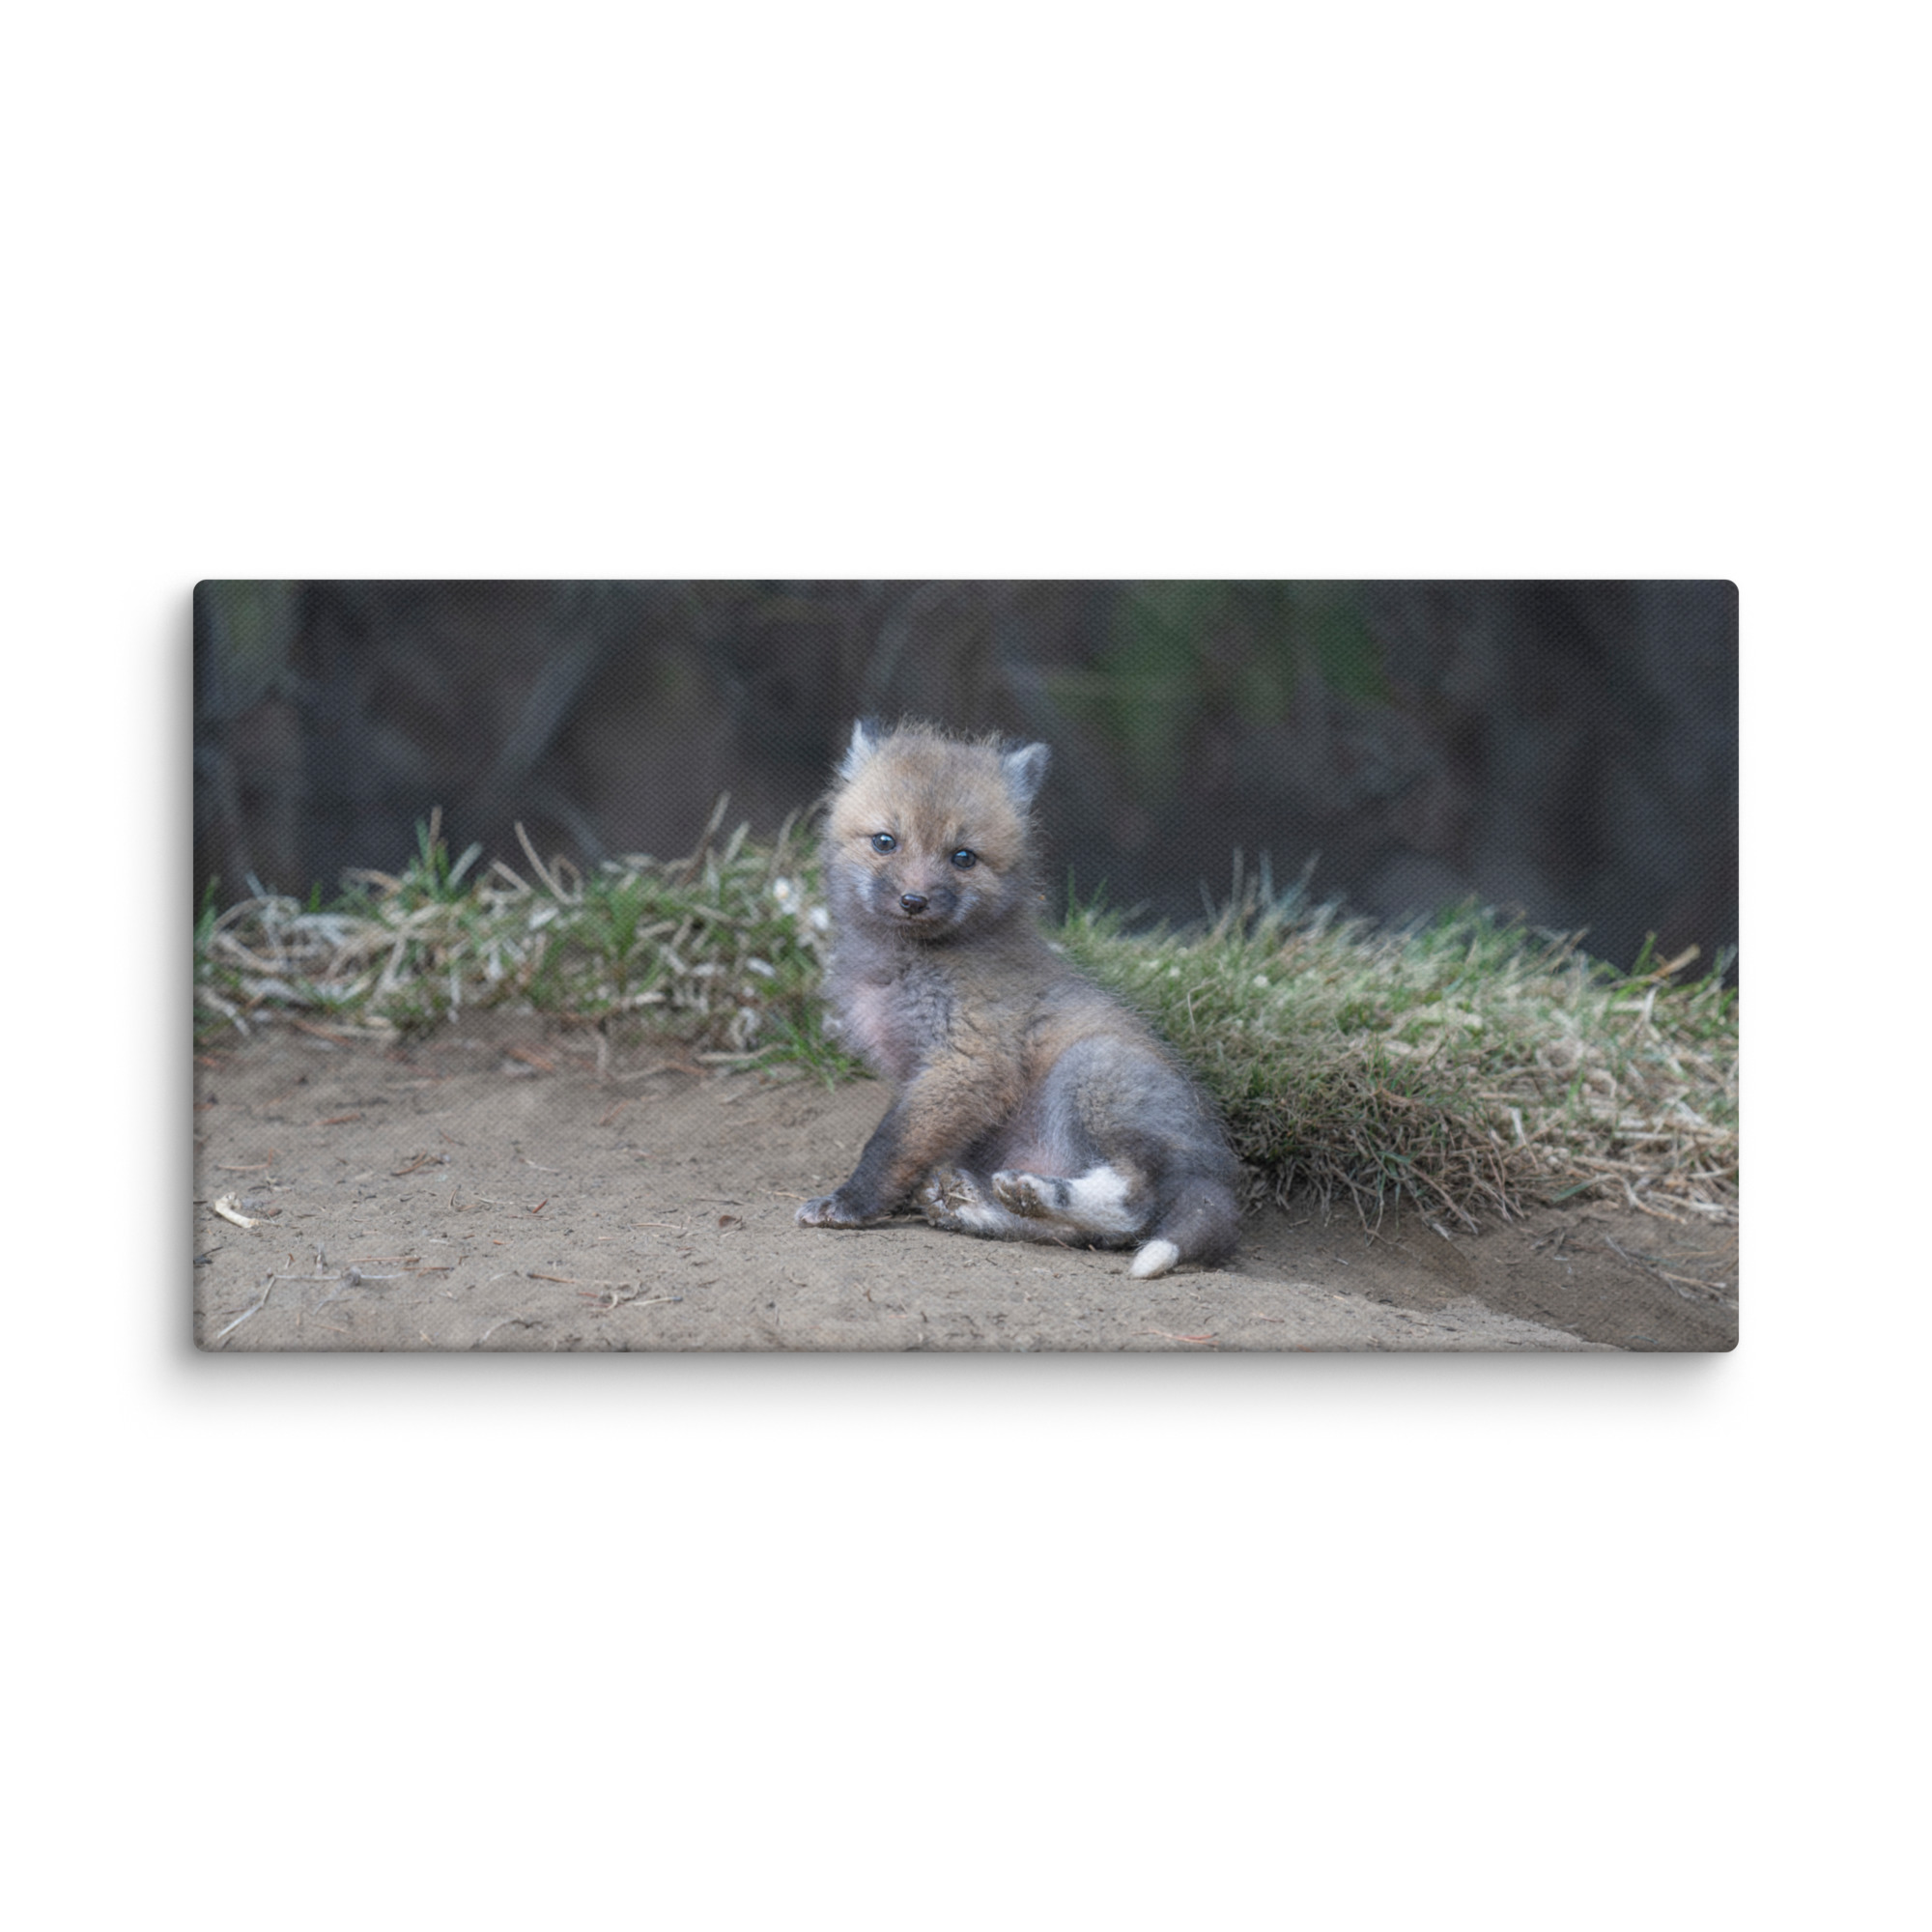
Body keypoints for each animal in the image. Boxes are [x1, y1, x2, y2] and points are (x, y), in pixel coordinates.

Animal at [795, 720, 1242, 1278]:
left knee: (1133, 1205)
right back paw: (978, 1205)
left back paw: (1035, 1192)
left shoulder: (969, 1061)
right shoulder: (923, 1074)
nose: (914, 901)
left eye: (963, 857)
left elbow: (891, 1144)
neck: (907, 965)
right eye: (885, 842)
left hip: (1090, 1071)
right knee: (1082, 1234)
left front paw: (851, 1203)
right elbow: (911, 1144)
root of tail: (1217, 1171)